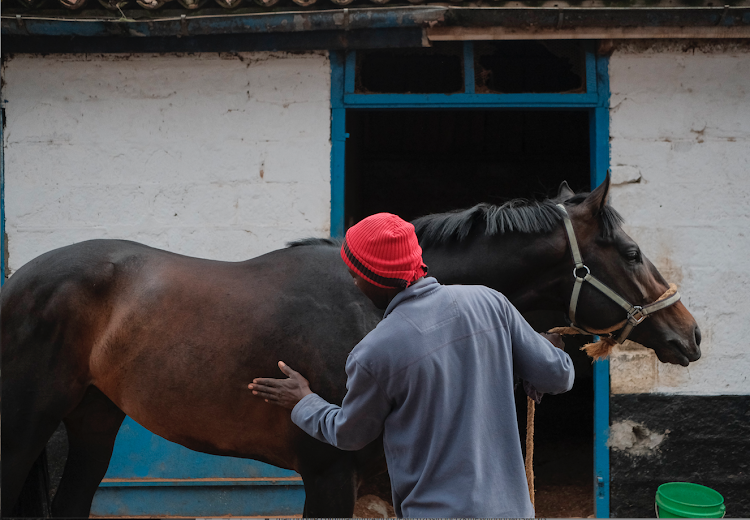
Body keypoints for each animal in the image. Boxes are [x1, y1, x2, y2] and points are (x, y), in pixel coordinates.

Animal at [2, 177, 704, 516]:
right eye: (632, 253)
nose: (691, 334)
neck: (370, 305)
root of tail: (20, 279)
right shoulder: (328, 475)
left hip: (95, 419)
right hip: (27, 424)